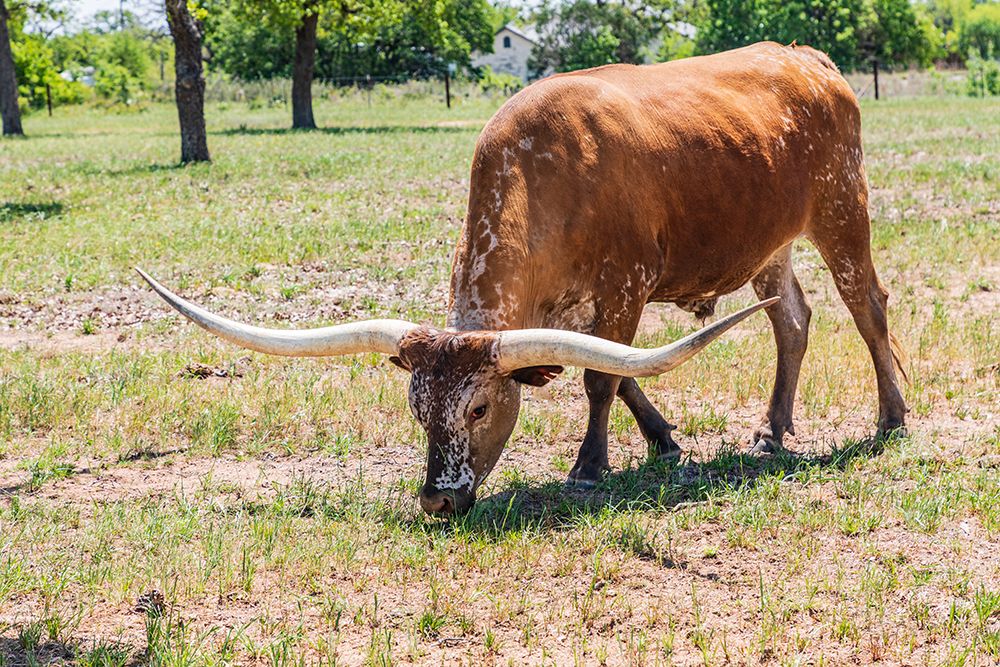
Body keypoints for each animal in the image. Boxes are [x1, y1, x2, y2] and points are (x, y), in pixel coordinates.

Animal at [139, 42, 907, 516]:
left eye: (480, 409)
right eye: (417, 408)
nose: (438, 499)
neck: (546, 175)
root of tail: (809, 60)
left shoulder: (625, 283)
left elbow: (602, 377)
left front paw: (589, 466)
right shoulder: (566, 312)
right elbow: (622, 371)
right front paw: (664, 440)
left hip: (843, 210)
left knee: (867, 309)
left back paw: (891, 418)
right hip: (768, 245)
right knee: (792, 320)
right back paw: (772, 429)